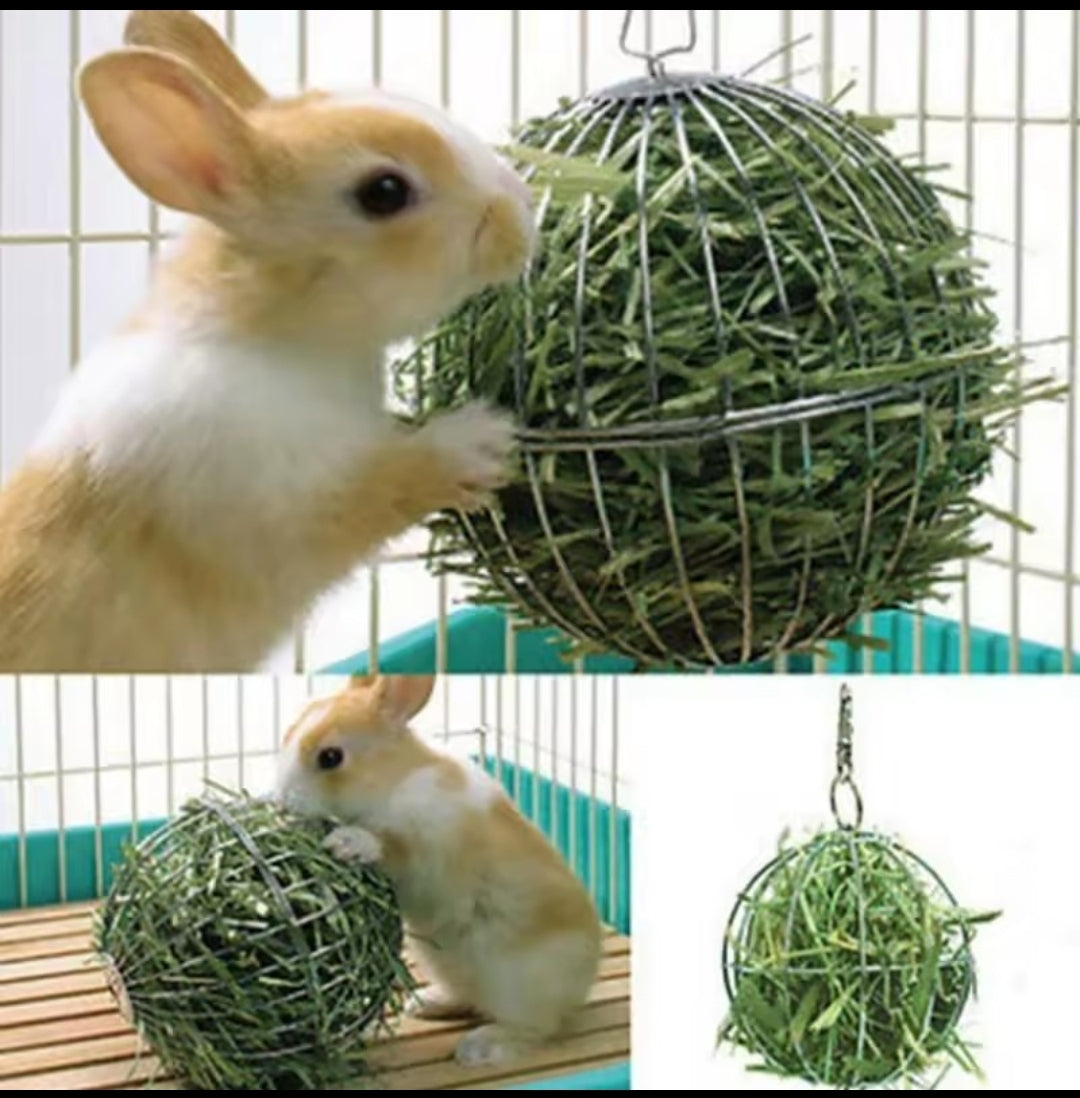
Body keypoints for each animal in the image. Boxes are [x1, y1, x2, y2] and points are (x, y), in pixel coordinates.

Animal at [0, 9, 534, 672]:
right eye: (384, 192)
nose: (522, 211)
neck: (279, 339)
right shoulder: (281, 504)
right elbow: (381, 487)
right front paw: (480, 440)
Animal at [276, 674, 603, 1068]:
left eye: (330, 757)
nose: (280, 800)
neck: (394, 779)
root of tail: (582, 987)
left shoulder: (425, 846)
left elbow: (391, 847)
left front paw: (345, 842)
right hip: (445, 963)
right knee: (468, 998)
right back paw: (424, 1003)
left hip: (517, 985)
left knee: (536, 1028)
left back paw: (479, 1047)